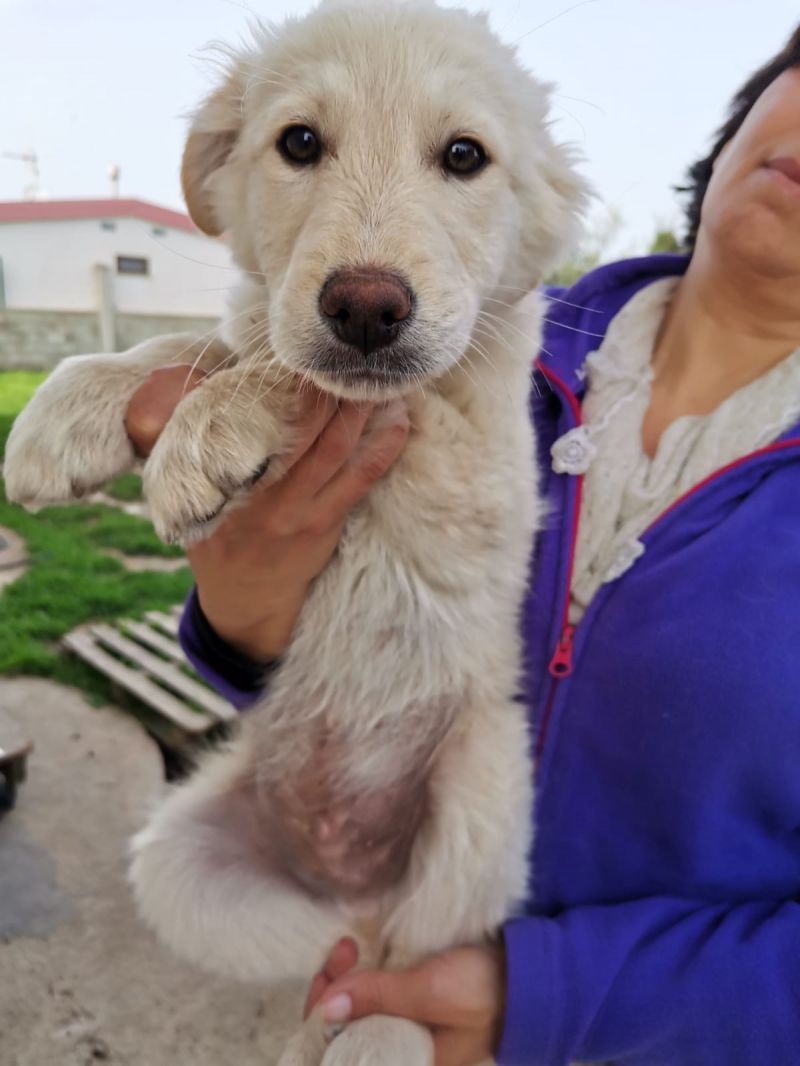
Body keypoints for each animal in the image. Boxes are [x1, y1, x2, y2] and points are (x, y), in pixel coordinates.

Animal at [3, 4, 584, 1061]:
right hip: (180, 860)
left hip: (483, 800)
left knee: (412, 965)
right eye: (299, 144)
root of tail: (354, 878)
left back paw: (379, 1039)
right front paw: (66, 412)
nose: (365, 306)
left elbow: (297, 374)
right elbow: (209, 341)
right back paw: (329, 1013)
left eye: (466, 156)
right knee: (342, 964)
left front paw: (207, 429)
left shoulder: (466, 436)